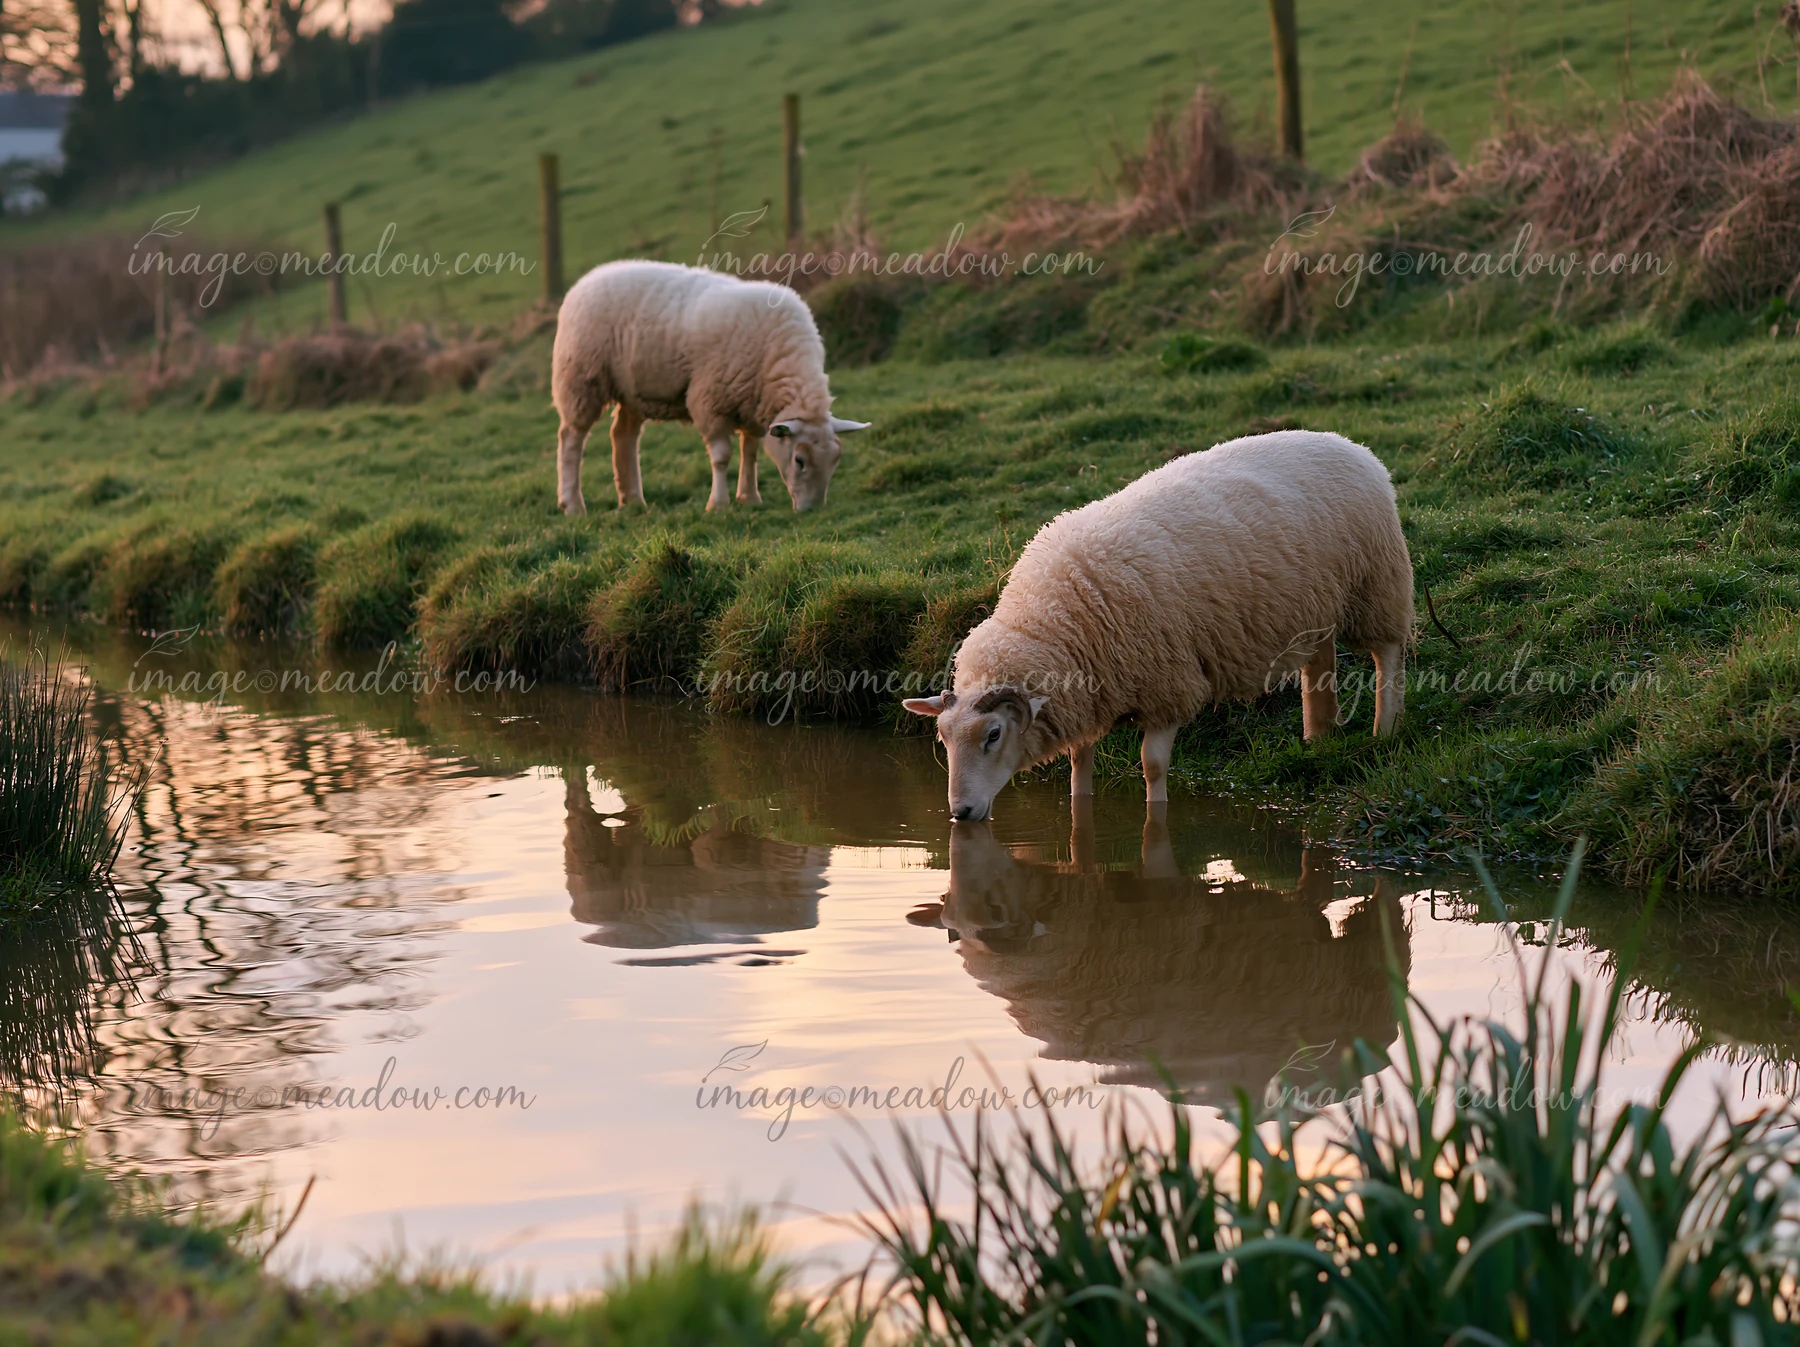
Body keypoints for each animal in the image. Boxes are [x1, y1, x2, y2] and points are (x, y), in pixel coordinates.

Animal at [550, 260, 870, 514]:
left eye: (836, 460)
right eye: (800, 460)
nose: (813, 510)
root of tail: (587, 279)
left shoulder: (752, 406)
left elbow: (750, 452)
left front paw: (750, 497)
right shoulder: (709, 401)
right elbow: (722, 456)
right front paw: (718, 504)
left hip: (632, 389)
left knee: (623, 436)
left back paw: (633, 502)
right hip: (580, 380)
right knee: (571, 439)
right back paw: (573, 505)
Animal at [903, 429, 1414, 821]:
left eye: (993, 735)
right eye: (943, 738)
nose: (961, 812)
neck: (1051, 619)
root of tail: (1348, 443)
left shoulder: (1170, 687)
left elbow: (1152, 766)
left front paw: (1157, 817)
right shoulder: (1089, 696)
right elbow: (1079, 762)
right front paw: (1080, 807)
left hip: (1376, 582)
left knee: (1387, 654)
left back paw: (1385, 730)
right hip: (1317, 605)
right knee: (1319, 663)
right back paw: (1317, 737)